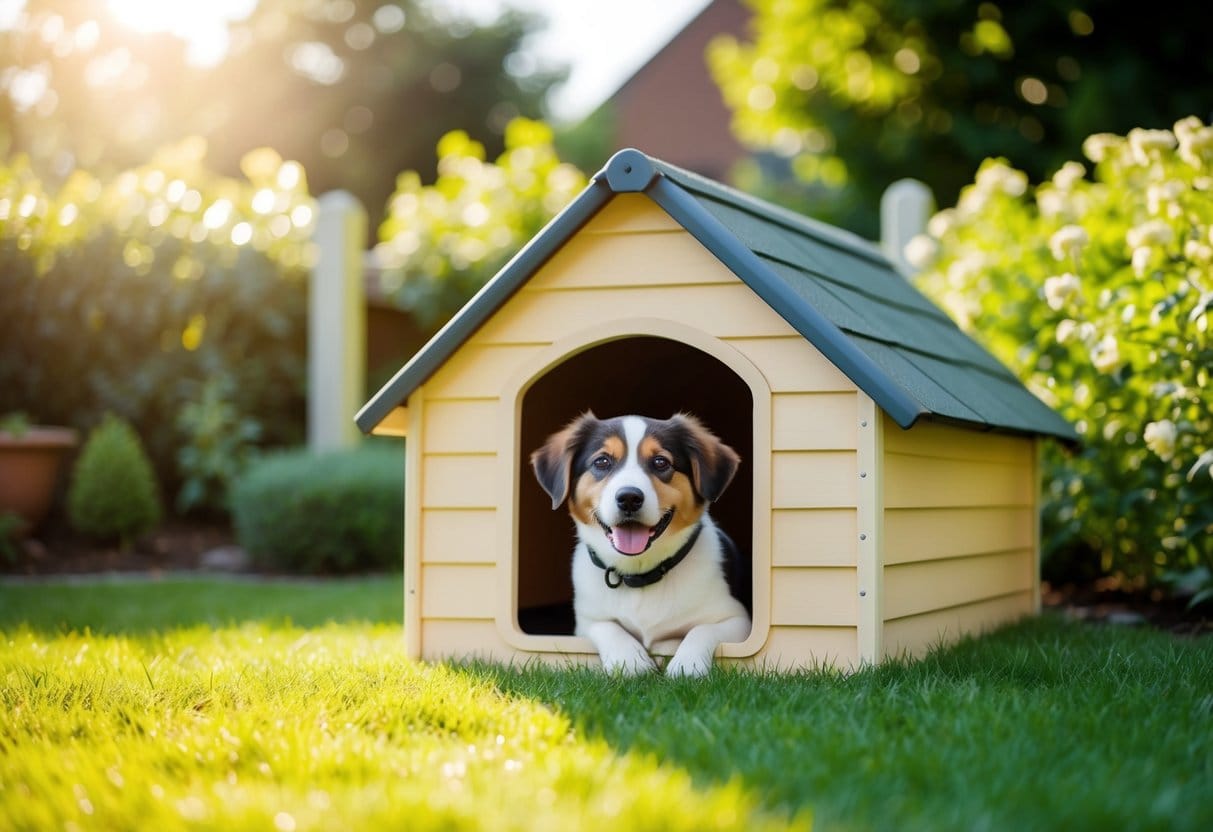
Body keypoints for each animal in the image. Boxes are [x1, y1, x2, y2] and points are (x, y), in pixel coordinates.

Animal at [531, 412, 747, 679]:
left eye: (661, 462)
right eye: (602, 461)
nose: (629, 498)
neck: (639, 574)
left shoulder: (738, 619)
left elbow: (703, 629)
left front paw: (687, 663)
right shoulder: (586, 620)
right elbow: (607, 626)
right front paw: (629, 660)